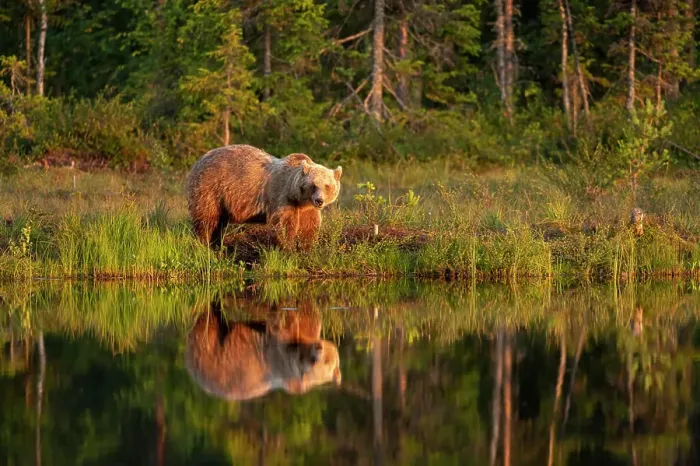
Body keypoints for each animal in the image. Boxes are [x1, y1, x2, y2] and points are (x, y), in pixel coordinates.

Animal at [185, 301, 342, 401]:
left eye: (327, 361)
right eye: (314, 361)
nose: (319, 348)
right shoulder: (279, 352)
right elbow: (286, 320)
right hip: (211, 351)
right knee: (209, 322)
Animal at [186, 144, 342, 250]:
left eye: (327, 186)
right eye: (313, 185)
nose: (319, 201)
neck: (299, 198)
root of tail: (199, 160)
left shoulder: (307, 208)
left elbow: (310, 227)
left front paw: (306, 248)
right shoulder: (282, 198)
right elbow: (284, 225)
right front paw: (287, 248)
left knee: (219, 223)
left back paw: (217, 245)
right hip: (210, 188)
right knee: (207, 220)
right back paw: (204, 244)